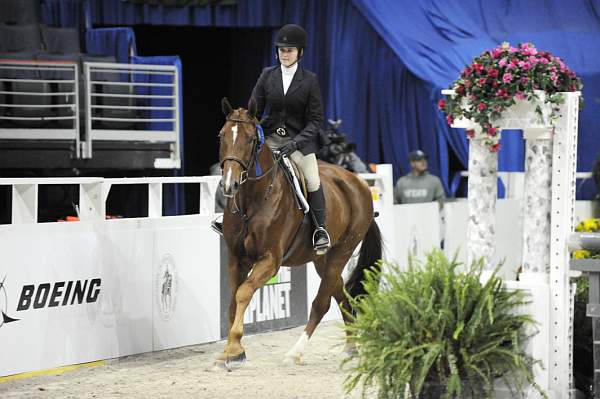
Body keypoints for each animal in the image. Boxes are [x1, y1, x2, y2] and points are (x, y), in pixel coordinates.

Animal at [218, 97, 382, 368]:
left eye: (250, 139)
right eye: (221, 136)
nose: (229, 185)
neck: (252, 200)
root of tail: (358, 183)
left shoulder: (270, 260)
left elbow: (243, 293)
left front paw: (233, 349)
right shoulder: (235, 258)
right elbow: (232, 302)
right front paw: (233, 350)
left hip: (342, 251)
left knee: (321, 303)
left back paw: (295, 352)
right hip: (321, 259)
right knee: (341, 294)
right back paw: (351, 347)